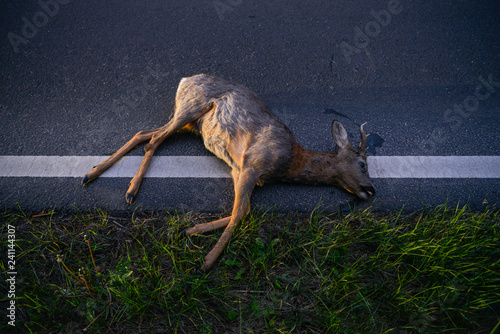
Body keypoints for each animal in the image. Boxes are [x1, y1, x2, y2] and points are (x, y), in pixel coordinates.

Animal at [83, 73, 376, 272]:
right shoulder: (253, 164)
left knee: (144, 133)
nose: (371, 190)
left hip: (190, 123)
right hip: (190, 108)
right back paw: (127, 190)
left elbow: (242, 210)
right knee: (154, 139)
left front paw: (191, 230)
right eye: (363, 164)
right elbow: (240, 213)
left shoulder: (239, 169)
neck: (289, 162)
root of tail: (185, 79)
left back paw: (93, 174)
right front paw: (208, 260)